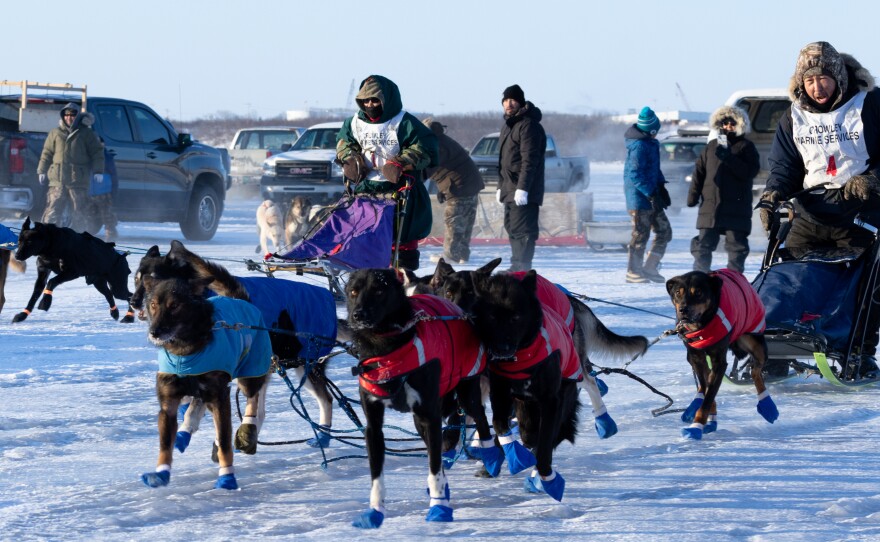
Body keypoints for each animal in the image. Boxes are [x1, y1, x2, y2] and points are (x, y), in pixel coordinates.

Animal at [140, 276, 272, 492]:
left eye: (174, 305)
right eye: (153, 305)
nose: (154, 332)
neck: (184, 351)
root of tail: (239, 298)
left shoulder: (220, 398)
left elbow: (225, 442)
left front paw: (227, 478)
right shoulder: (169, 402)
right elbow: (165, 443)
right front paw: (161, 472)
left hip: (249, 375)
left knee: (253, 397)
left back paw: (248, 428)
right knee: (198, 405)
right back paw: (184, 432)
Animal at [344, 270, 498, 528]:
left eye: (379, 290)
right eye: (354, 290)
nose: (359, 314)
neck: (387, 352)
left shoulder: (430, 416)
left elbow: (434, 468)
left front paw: (439, 507)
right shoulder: (374, 425)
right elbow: (377, 474)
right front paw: (375, 511)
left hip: (467, 394)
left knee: (481, 421)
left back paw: (493, 460)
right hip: (419, 420)